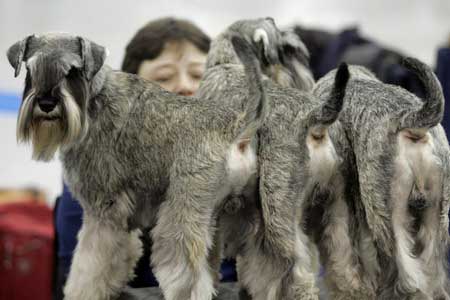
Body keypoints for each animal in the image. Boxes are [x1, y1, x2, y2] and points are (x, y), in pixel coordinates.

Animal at [7, 32, 270, 300]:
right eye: (30, 69)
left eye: (72, 71)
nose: (46, 103)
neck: (93, 98)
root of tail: (238, 130)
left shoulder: (104, 210)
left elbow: (90, 262)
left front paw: (83, 292)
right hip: (248, 213)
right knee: (266, 263)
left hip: (183, 212)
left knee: (188, 271)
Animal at [199, 17, 350, 298]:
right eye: (289, 51)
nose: (308, 79)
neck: (227, 62)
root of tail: (314, 120)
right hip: (335, 210)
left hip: (278, 212)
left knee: (296, 273)